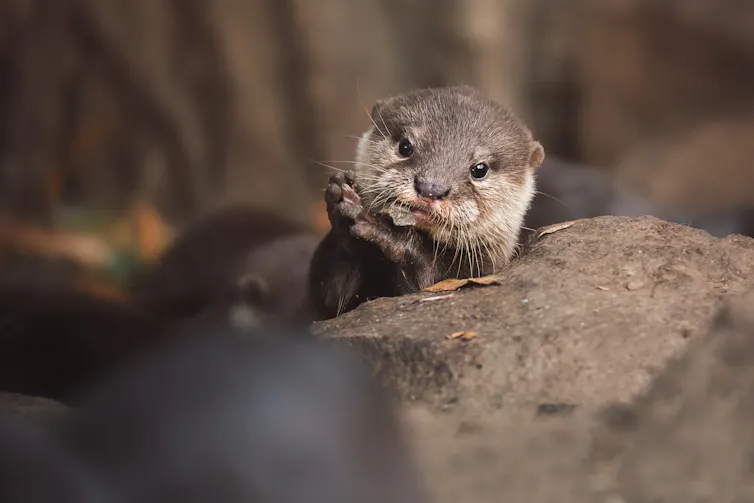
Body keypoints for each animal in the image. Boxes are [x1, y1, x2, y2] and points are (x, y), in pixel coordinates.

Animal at [309, 86, 545, 319]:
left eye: (480, 169)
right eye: (405, 147)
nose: (430, 188)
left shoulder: (482, 269)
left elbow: (433, 279)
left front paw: (384, 230)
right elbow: (331, 301)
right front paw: (344, 205)